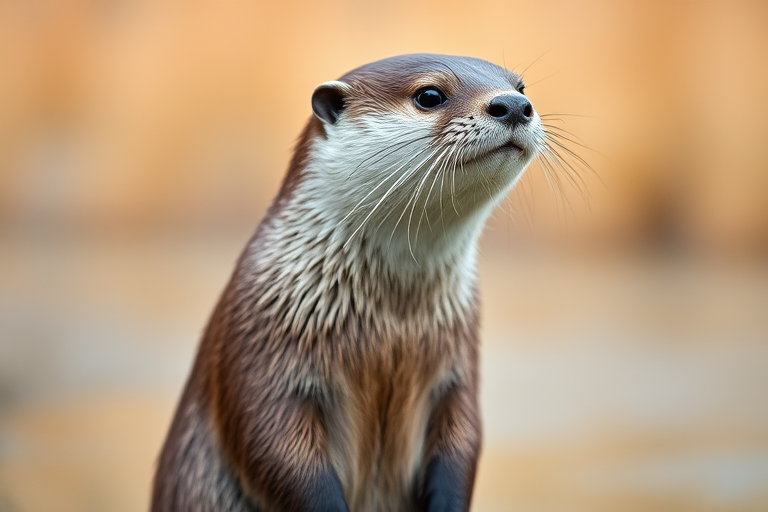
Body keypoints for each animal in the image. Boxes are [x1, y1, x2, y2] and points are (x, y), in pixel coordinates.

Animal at [152, 54, 544, 512]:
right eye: (430, 95)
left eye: (521, 88)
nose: (513, 105)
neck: (392, 324)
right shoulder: (258, 347)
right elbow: (267, 438)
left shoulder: (459, 368)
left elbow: (463, 438)